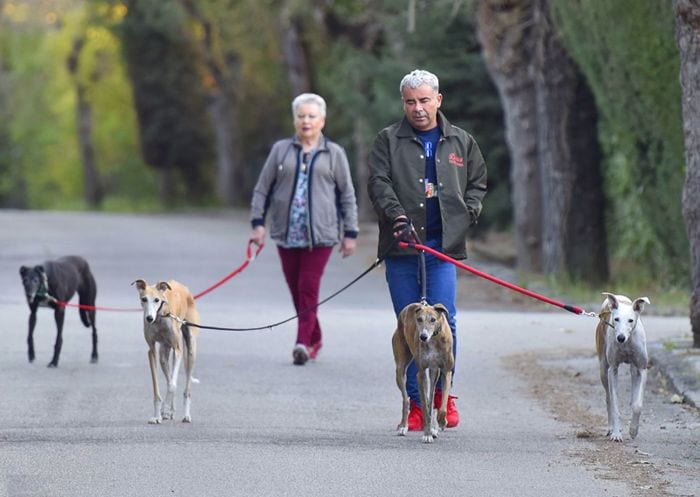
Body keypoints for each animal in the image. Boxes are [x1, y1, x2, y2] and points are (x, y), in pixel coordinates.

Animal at [131, 280, 200, 422]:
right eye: (144, 299)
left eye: (157, 300)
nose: (149, 318)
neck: (160, 317)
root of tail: (184, 287)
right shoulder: (151, 351)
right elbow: (158, 388)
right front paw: (157, 416)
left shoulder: (178, 350)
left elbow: (172, 385)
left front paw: (164, 409)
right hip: (164, 353)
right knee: (168, 377)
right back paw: (170, 411)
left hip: (190, 350)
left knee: (185, 387)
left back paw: (186, 415)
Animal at [392, 300, 452, 444]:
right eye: (419, 319)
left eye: (433, 319)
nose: (423, 337)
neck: (434, 339)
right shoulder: (421, 373)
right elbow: (425, 406)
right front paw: (427, 434)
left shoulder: (446, 371)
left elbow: (441, 405)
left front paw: (441, 422)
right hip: (400, 369)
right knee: (406, 399)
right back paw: (404, 426)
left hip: (434, 372)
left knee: (431, 400)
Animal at [596, 292, 652, 440]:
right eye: (616, 319)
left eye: (630, 320)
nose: (620, 338)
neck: (627, 344)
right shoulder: (613, 369)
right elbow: (615, 404)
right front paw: (616, 434)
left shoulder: (642, 369)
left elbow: (637, 405)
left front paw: (633, 430)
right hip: (603, 369)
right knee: (608, 398)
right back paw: (610, 428)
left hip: (634, 369)